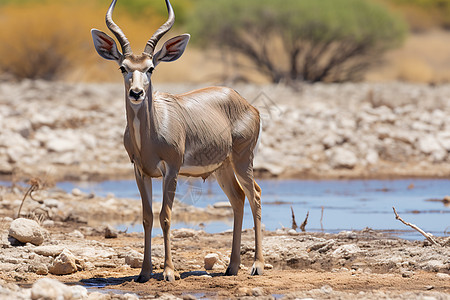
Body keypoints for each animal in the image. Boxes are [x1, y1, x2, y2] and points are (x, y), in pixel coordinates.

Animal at [91, 0, 264, 282]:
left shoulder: (171, 169)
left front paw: (169, 272)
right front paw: (144, 273)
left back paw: (257, 265)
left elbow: (165, 216)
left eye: (150, 68)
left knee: (255, 194)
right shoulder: (140, 171)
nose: (136, 93)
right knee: (238, 199)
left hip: (242, 160)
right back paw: (231, 267)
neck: (150, 135)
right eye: (123, 67)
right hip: (223, 168)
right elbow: (147, 217)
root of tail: (245, 102)